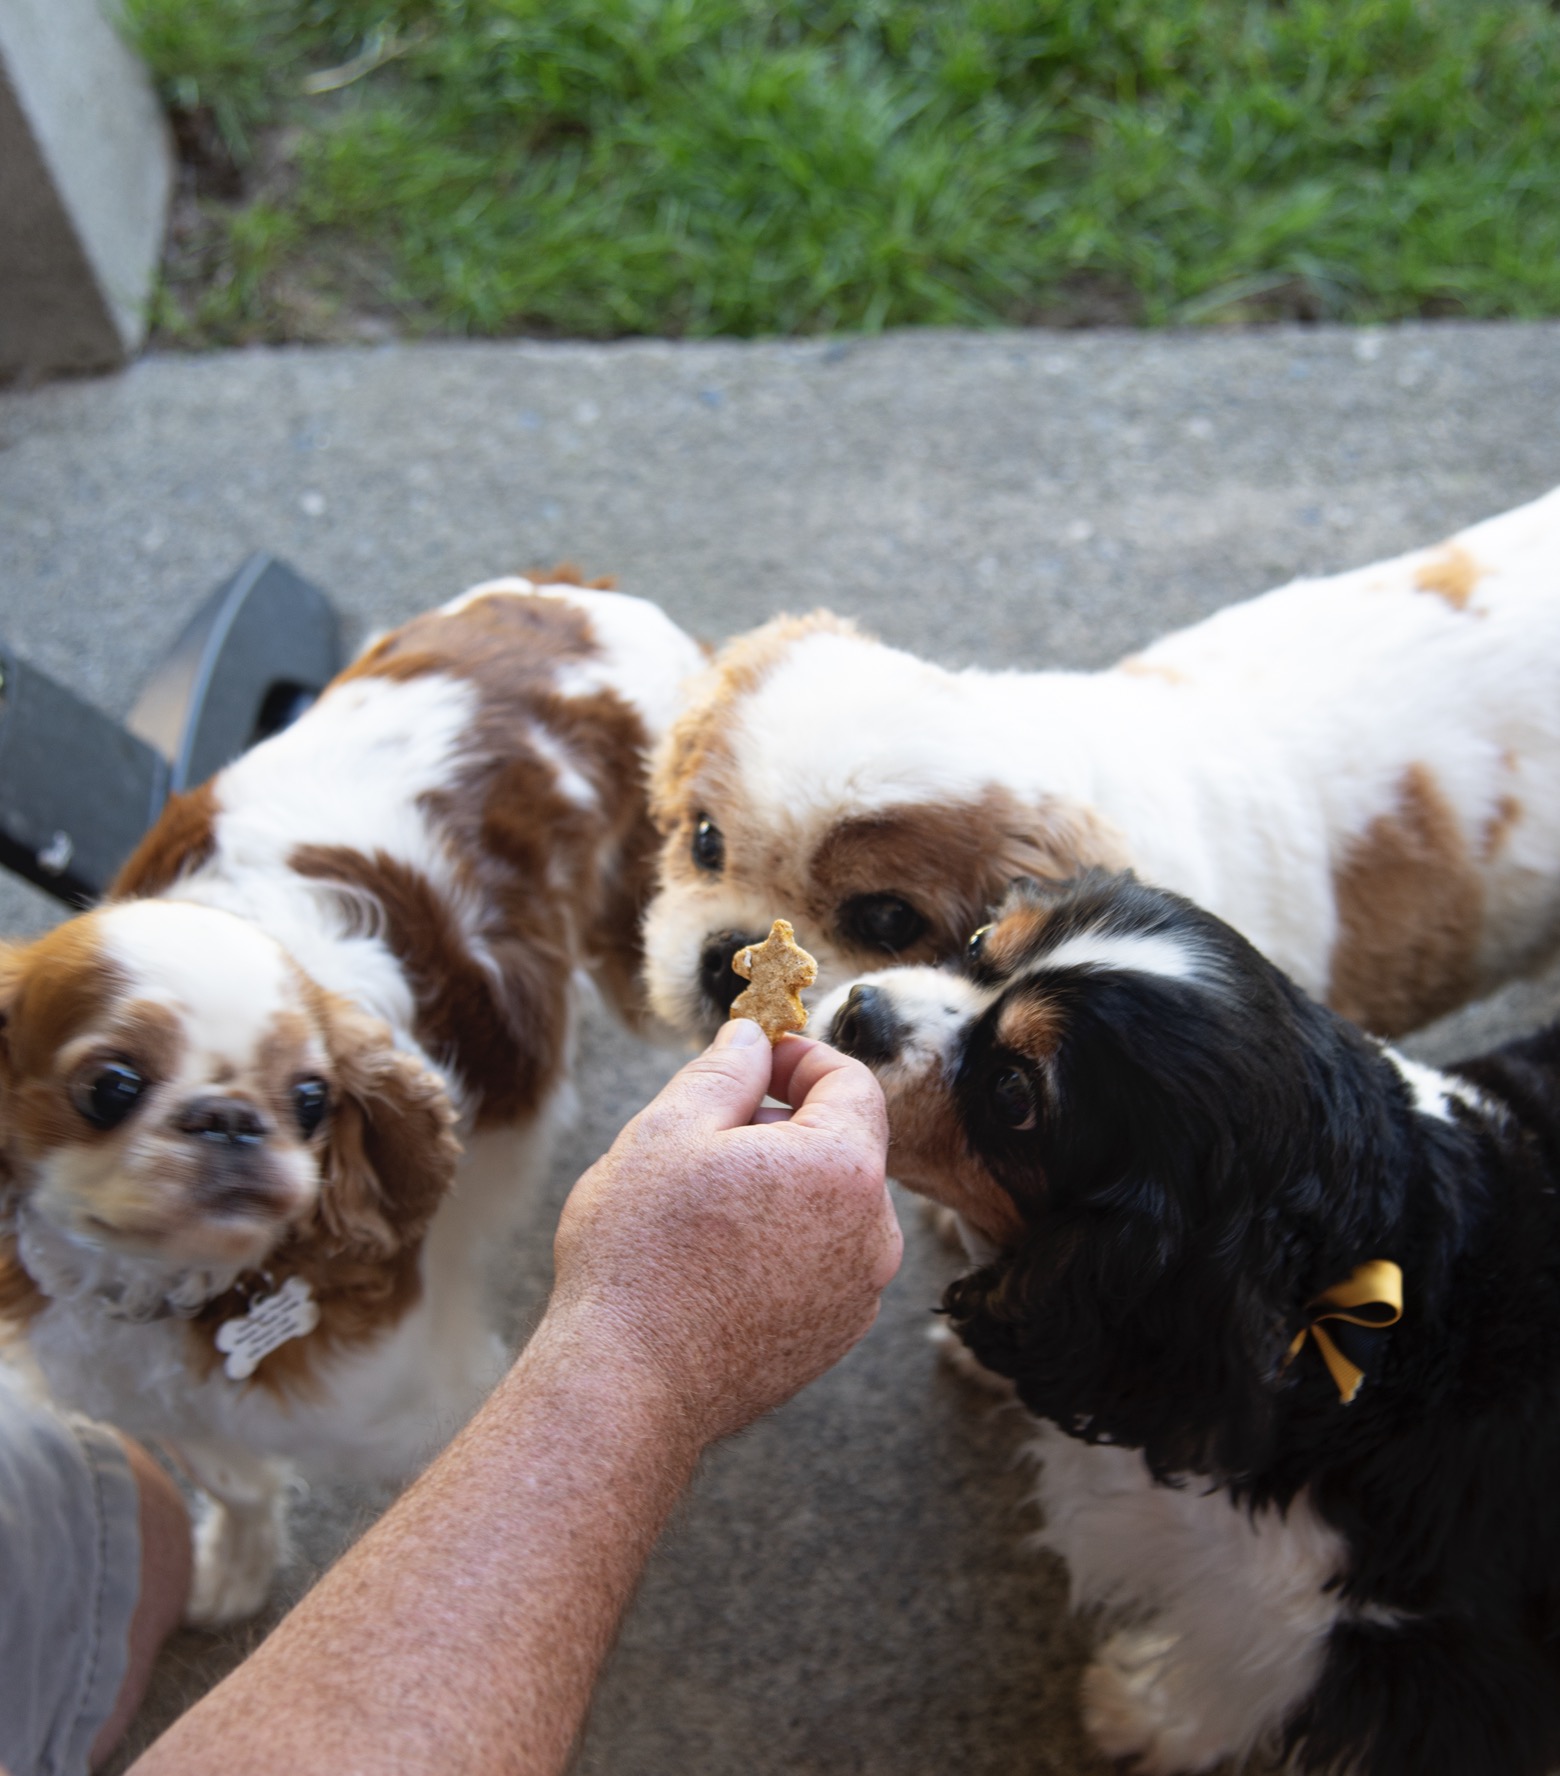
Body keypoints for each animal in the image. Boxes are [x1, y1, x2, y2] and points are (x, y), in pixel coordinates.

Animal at [0, 571, 703, 1626]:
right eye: (110, 1086)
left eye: (312, 1098)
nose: (228, 1119)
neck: (185, 1298)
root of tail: (577, 597)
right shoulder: (149, 1401)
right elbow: (234, 1481)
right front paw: (235, 1562)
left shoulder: (424, 1414)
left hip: (646, 945)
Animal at [824, 873, 1560, 1776]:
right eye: (978, 944)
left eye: (1014, 1095)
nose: (858, 1013)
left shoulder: (1385, 1644)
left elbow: (1241, 1671)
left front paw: (1142, 1714)